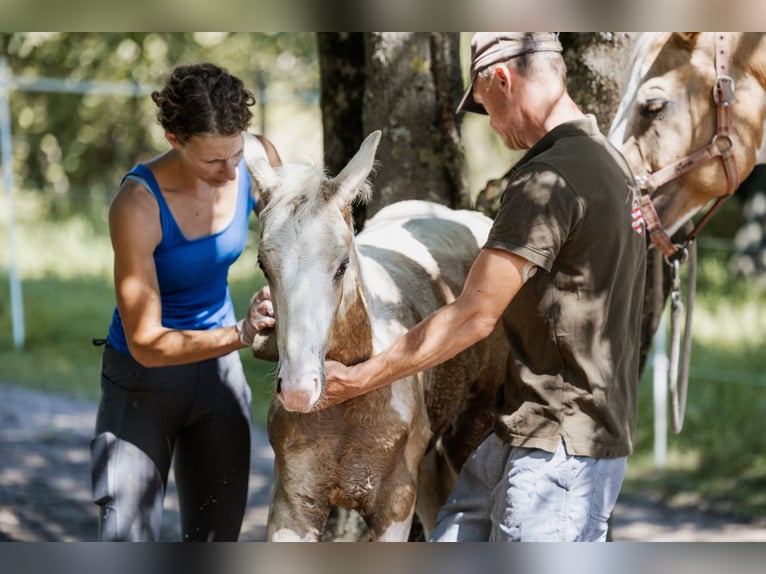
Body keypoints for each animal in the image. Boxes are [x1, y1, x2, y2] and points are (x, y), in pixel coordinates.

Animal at [246, 132, 510, 544]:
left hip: (470, 429)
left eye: (342, 265)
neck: (348, 411)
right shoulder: (293, 503)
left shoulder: (394, 503)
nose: (298, 390)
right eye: (263, 265)